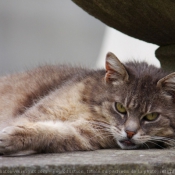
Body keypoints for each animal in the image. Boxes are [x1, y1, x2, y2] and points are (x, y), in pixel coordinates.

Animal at [0, 51, 175, 155]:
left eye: (152, 116)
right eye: (120, 108)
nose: (130, 133)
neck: (92, 108)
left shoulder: (83, 134)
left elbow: (52, 133)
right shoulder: (41, 112)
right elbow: (27, 122)